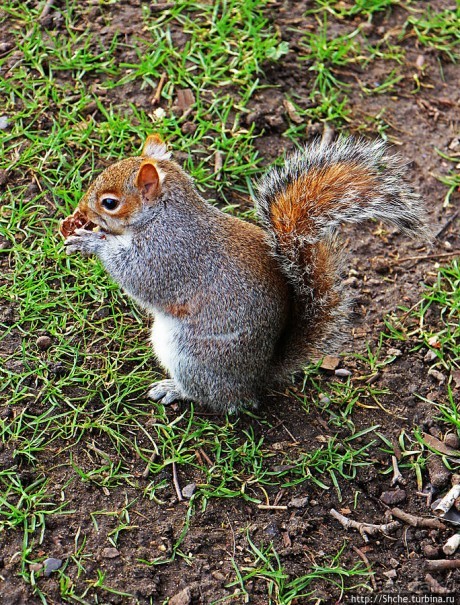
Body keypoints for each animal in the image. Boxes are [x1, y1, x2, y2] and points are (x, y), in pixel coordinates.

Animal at [64, 134, 432, 412]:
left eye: (109, 202)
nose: (79, 210)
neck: (164, 214)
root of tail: (258, 377)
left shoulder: (168, 255)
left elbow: (137, 275)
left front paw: (89, 242)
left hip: (191, 357)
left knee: (218, 398)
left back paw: (175, 390)